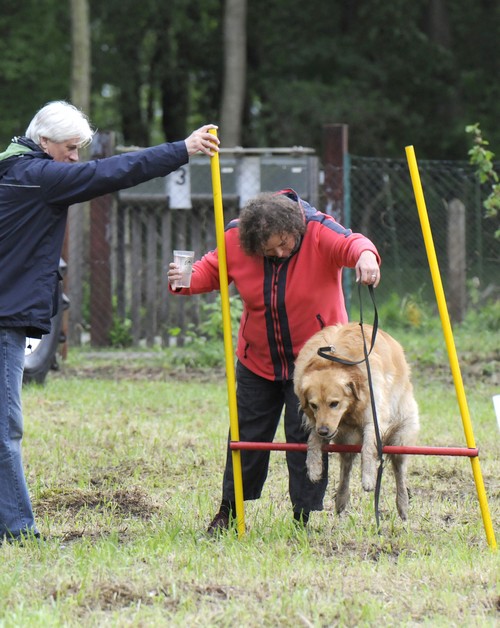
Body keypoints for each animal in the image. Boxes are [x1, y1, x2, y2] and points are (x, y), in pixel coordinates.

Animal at [294, 324, 420, 520]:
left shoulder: (374, 417)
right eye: (314, 405)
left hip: (400, 439)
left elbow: (367, 447)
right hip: (346, 441)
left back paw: (403, 505)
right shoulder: (319, 422)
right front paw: (313, 466)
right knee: (346, 468)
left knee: (399, 472)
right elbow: (312, 439)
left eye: (334, 403)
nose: (324, 431)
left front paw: (368, 477)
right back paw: (341, 499)